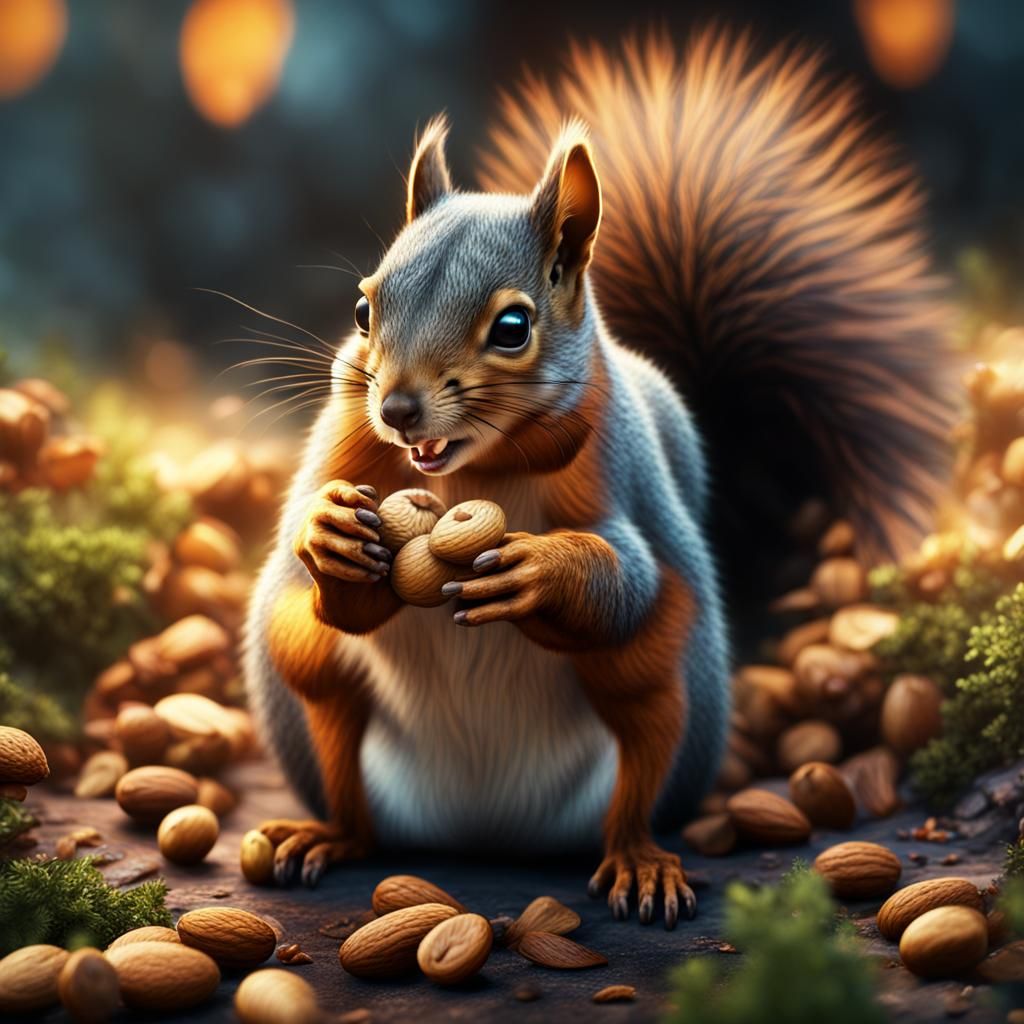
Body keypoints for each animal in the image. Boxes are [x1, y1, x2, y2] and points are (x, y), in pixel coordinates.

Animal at [243, 29, 951, 928]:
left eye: (514, 327)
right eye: (365, 309)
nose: (398, 410)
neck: (473, 470)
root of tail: (485, 835)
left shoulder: (620, 471)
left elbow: (631, 570)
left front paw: (540, 570)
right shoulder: (345, 439)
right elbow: (329, 567)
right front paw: (328, 532)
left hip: (660, 690)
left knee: (637, 777)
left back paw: (640, 863)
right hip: (309, 698)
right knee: (337, 743)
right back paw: (324, 836)